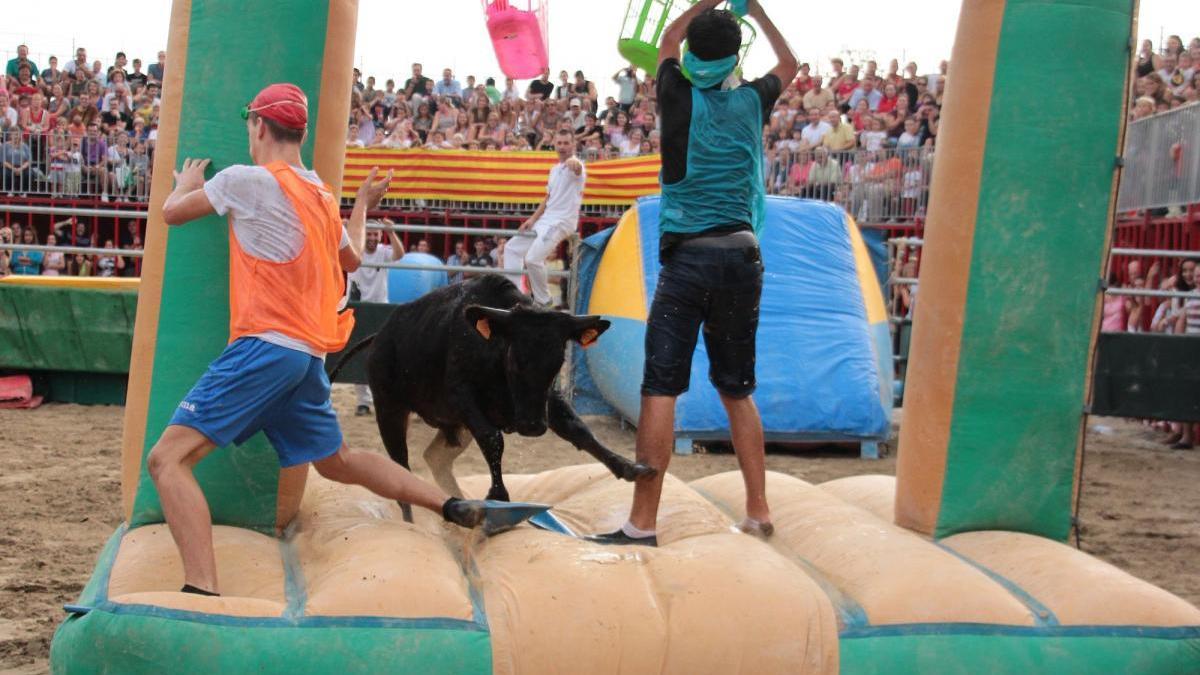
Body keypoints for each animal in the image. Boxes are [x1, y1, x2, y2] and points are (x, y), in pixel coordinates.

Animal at [331, 270, 657, 516]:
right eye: (514, 357)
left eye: (558, 362)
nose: (532, 427)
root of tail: (380, 336)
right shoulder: (462, 398)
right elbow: (493, 439)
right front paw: (498, 494)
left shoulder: (546, 402)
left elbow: (579, 430)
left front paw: (630, 468)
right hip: (390, 409)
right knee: (401, 468)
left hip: (454, 428)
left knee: (434, 458)